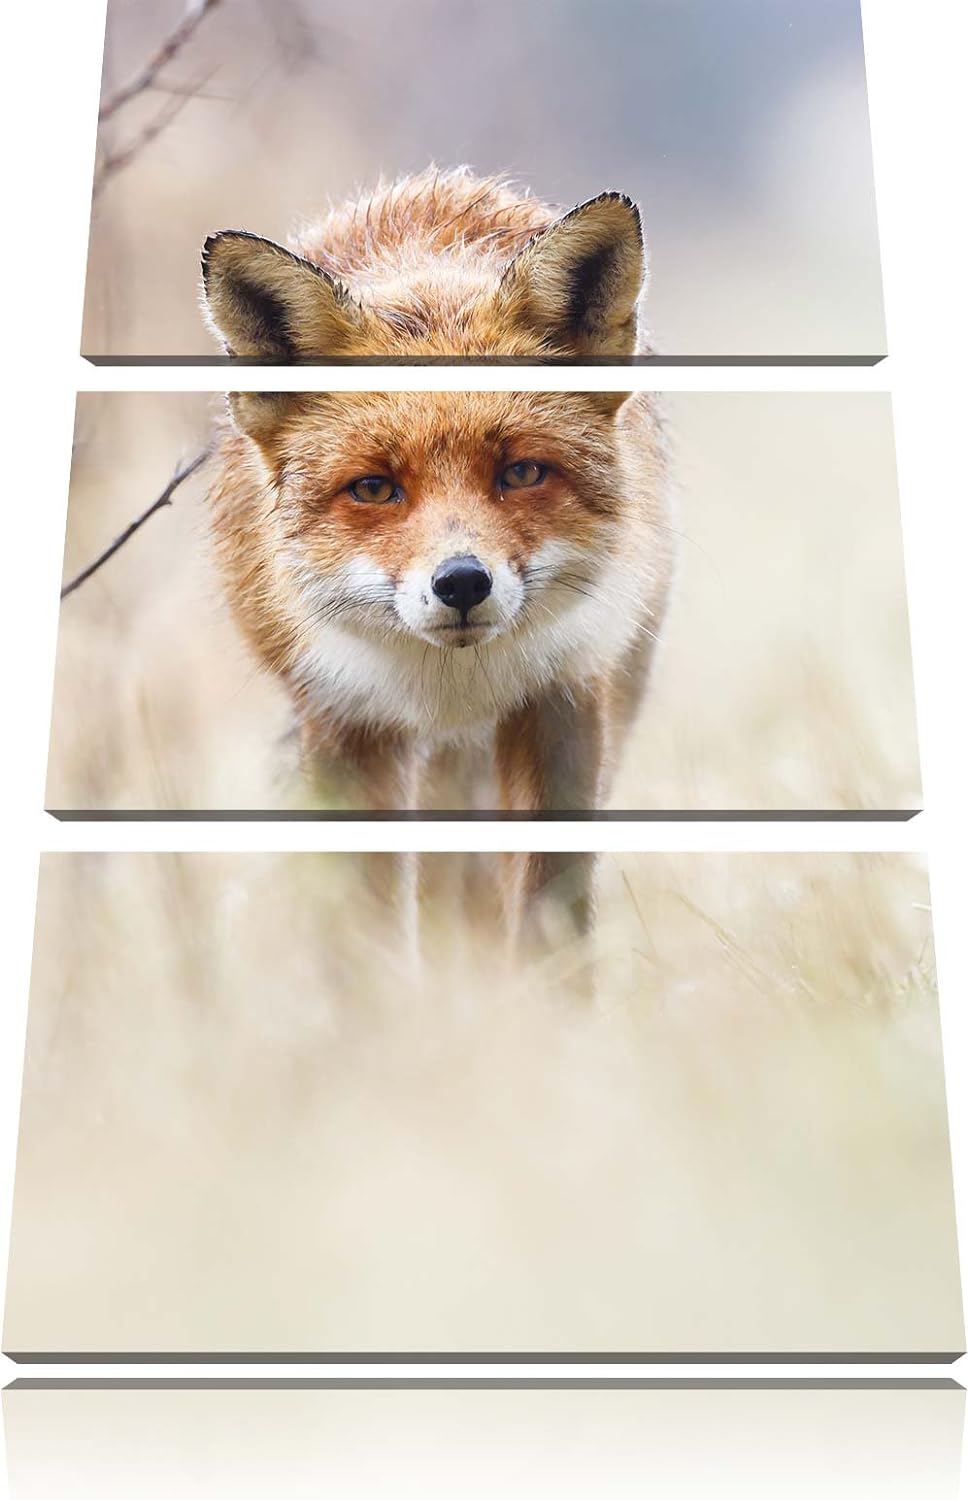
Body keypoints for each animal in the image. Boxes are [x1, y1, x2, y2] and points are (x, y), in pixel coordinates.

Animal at [200, 170, 674, 953]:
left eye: (521, 473)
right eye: (373, 489)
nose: (460, 583)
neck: (452, 686)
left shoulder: (564, 699)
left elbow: (550, 914)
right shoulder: (343, 721)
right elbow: (365, 932)